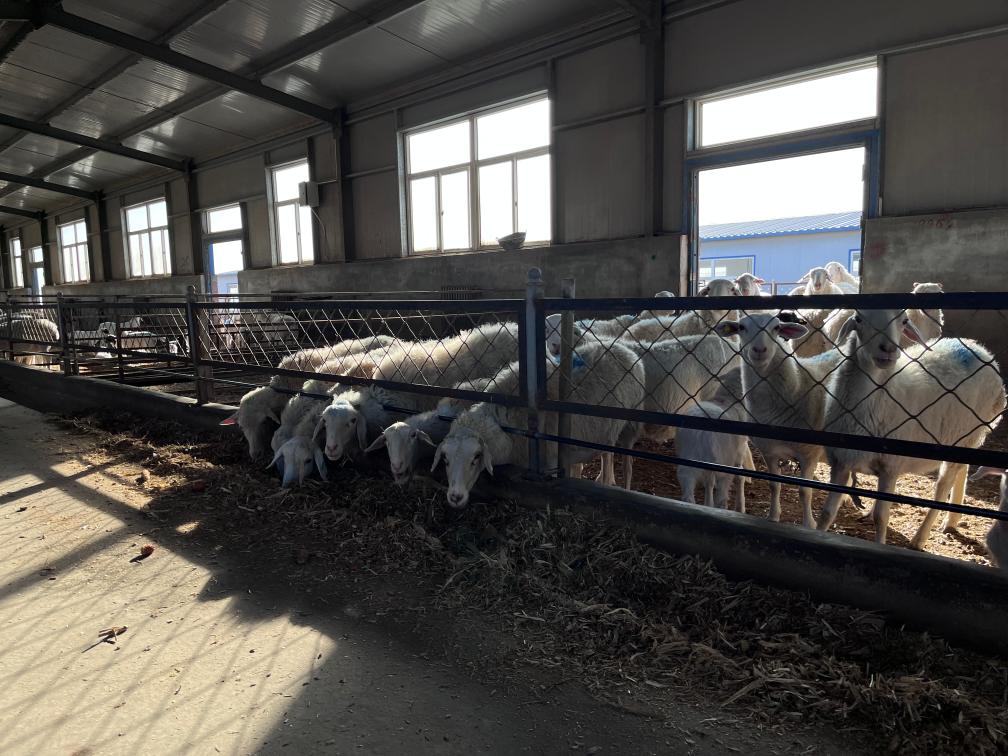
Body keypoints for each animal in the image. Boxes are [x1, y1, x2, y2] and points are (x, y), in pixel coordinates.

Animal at [432, 340, 646, 508]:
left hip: (626, 425)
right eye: (445, 459)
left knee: (622, 461)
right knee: (605, 452)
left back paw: (618, 484)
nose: (455, 497)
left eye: (476, 457)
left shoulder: (549, 463)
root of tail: (622, 347)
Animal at [815, 309, 1005, 545]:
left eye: (904, 321)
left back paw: (920, 538)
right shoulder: (840, 461)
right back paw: (951, 520)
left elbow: (881, 517)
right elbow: (827, 513)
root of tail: (982, 352)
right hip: (963, 437)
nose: (888, 349)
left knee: (942, 487)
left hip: (965, 435)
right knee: (962, 469)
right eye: (859, 319)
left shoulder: (890, 466)